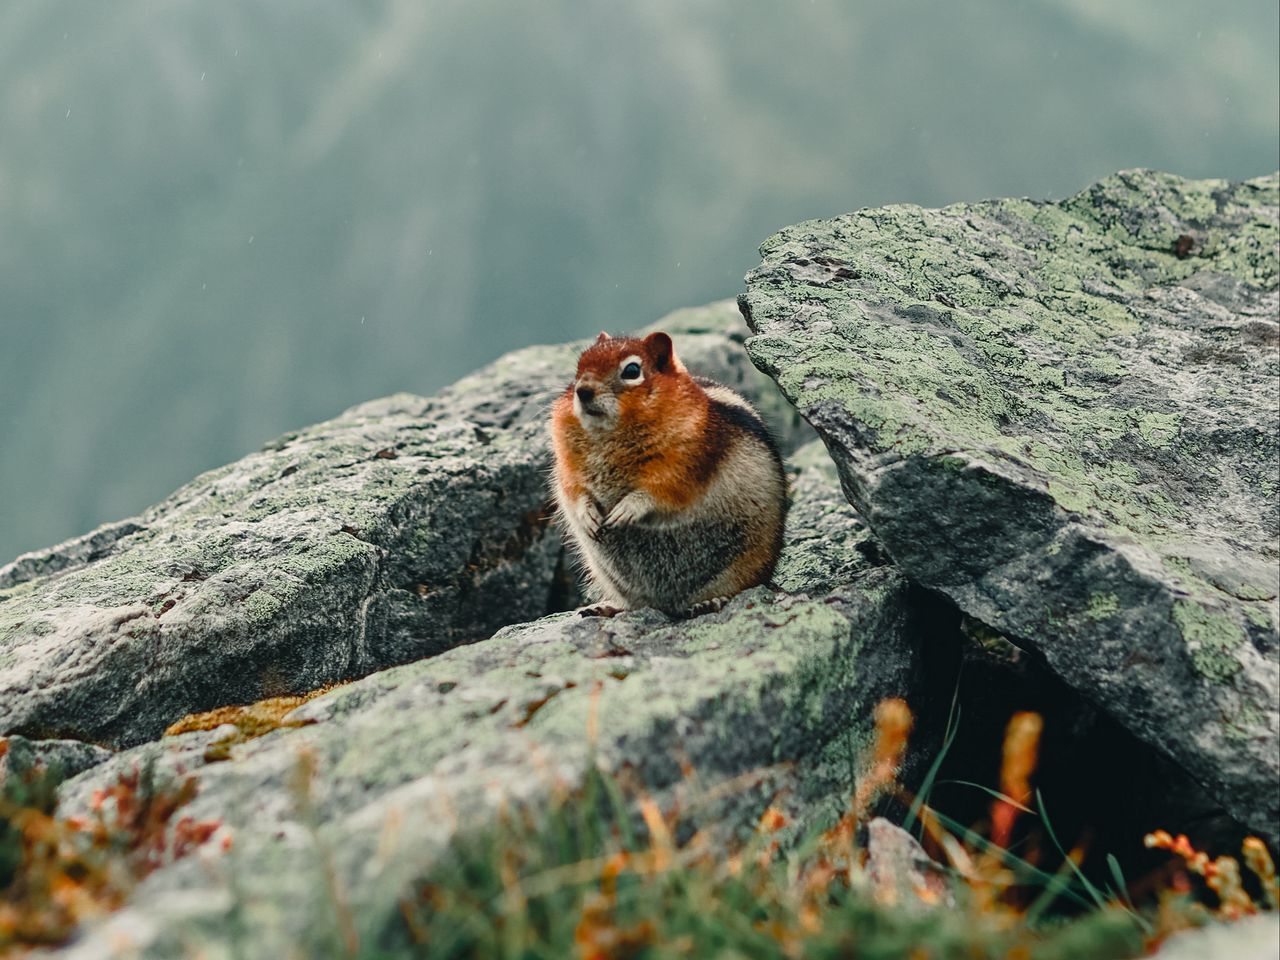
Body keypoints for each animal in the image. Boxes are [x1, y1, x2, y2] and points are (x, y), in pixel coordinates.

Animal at [547, 330, 783, 616]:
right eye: (579, 367)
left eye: (632, 370)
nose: (582, 391)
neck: (608, 435)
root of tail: (667, 606)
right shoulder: (568, 466)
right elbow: (574, 491)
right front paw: (587, 515)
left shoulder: (685, 464)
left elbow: (661, 492)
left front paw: (628, 509)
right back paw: (607, 608)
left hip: (745, 567)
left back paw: (710, 602)